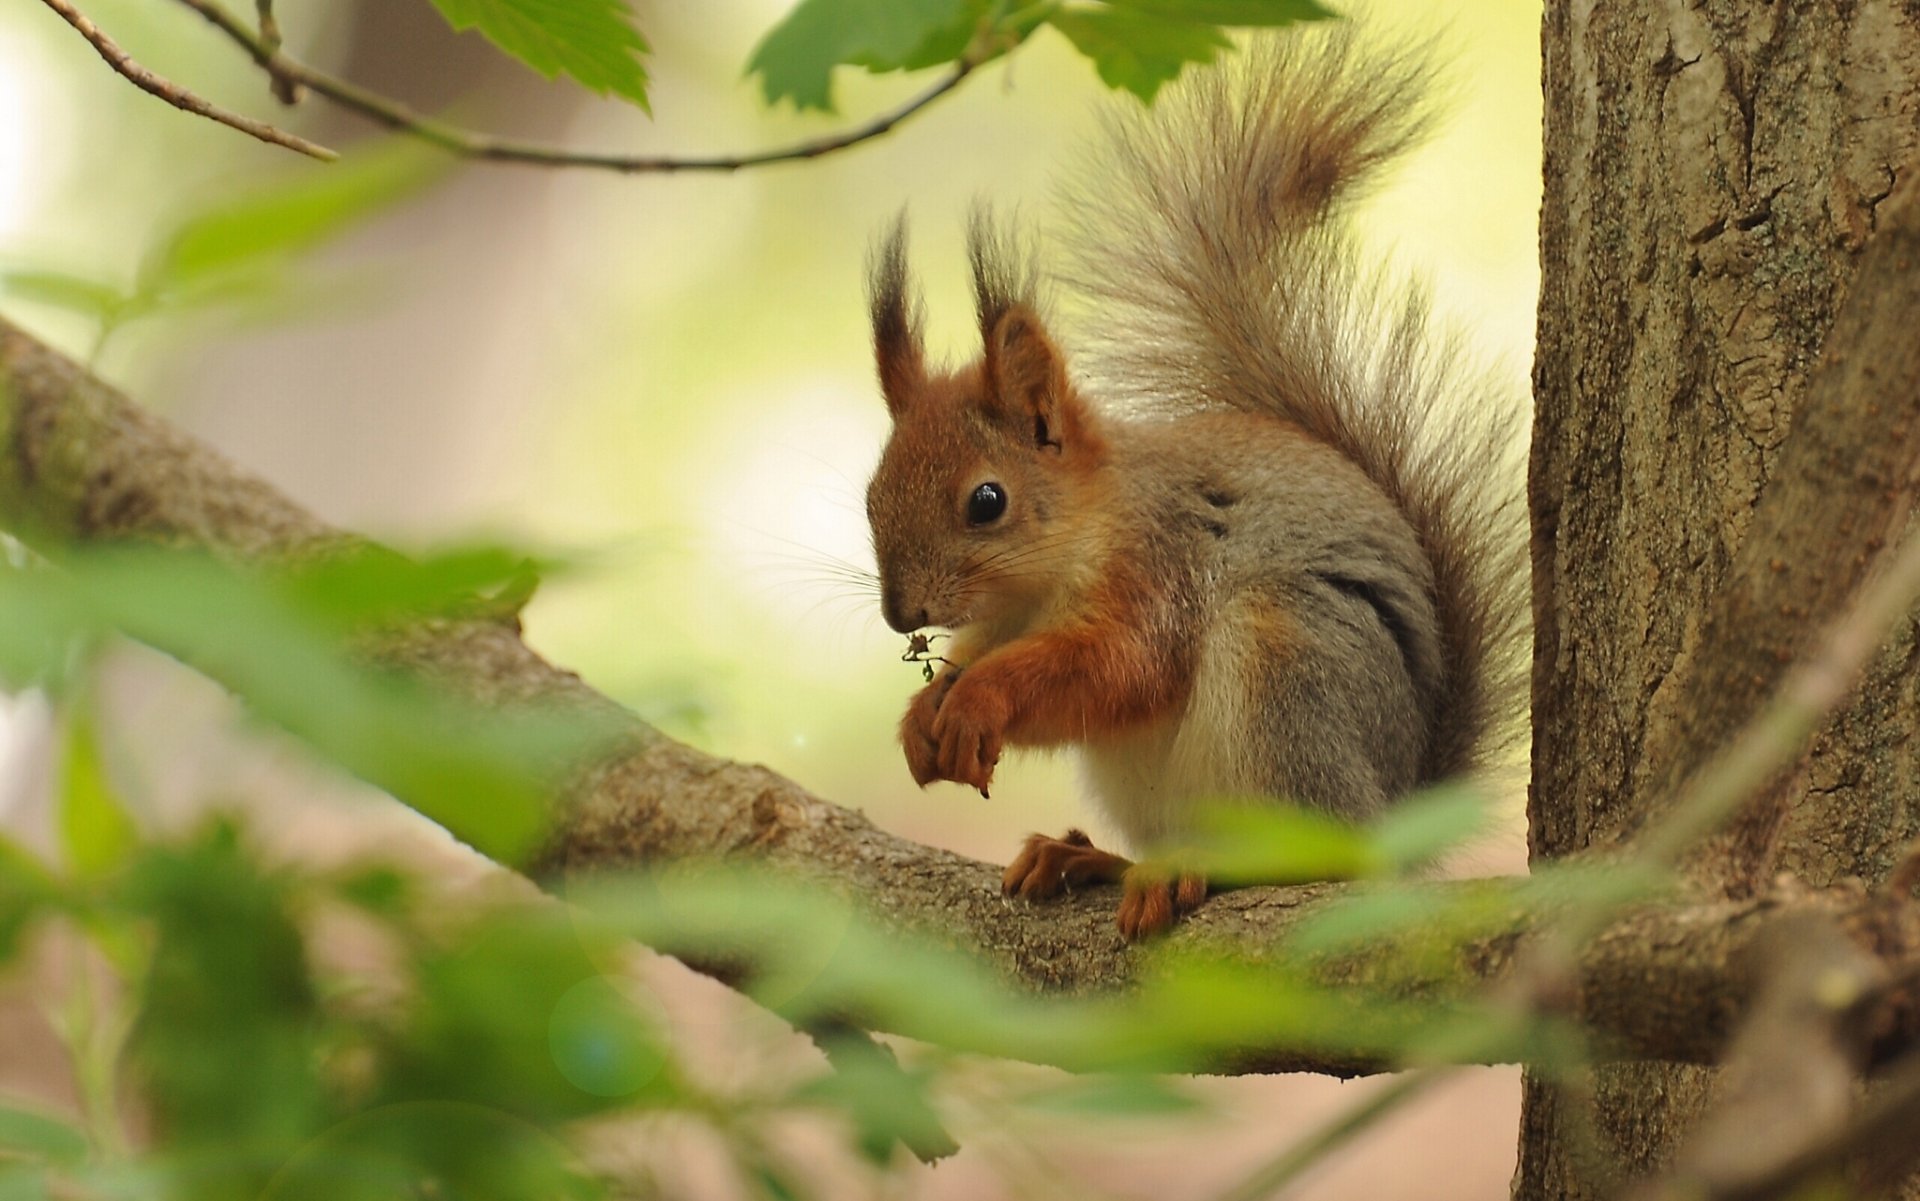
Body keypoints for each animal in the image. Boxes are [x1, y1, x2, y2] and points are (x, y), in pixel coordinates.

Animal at [862, 26, 1526, 940]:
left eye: (986, 501)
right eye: (870, 494)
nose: (901, 616)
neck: (1053, 568)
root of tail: (1395, 816)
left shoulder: (1158, 565)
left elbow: (1117, 667)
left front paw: (977, 700)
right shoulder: (1004, 619)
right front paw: (918, 719)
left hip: (1288, 671)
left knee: (1315, 856)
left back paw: (1195, 870)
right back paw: (1092, 858)